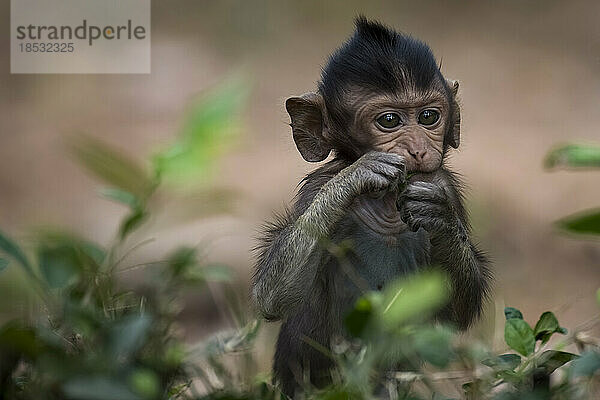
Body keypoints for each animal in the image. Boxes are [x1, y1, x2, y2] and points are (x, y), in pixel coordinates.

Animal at [251, 16, 490, 396]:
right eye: (389, 121)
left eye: (429, 116)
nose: (419, 149)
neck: (387, 204)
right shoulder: (315, 186)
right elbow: (271, 298)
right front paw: (357, 175)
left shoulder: (443, 185)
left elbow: (458, 312)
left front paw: (439, 217)